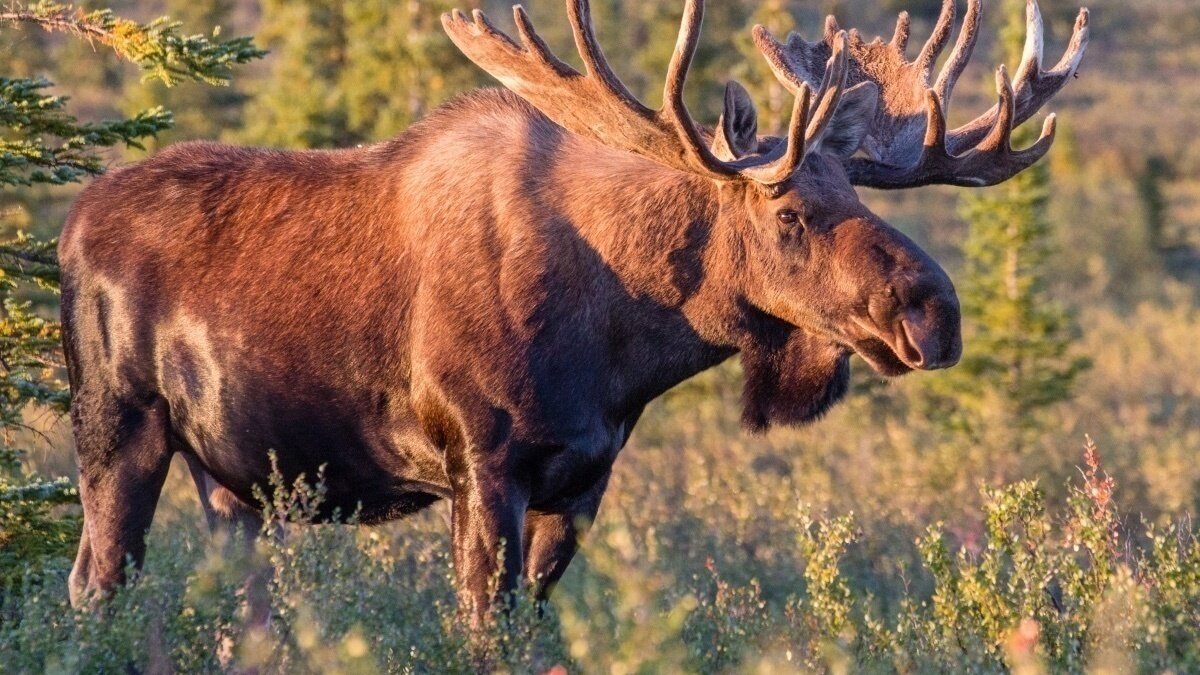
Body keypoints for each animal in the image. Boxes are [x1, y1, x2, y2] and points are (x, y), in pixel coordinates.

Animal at [60, 0, 1089, 628]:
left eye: (862, 196)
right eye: (791, 213)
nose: (935, 311)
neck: (620, 347)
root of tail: (67, 224)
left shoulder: (583, 481)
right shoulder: (482, 463)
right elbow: (481, 626)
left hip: (233, 479)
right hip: (119, 427)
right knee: (95, 583)